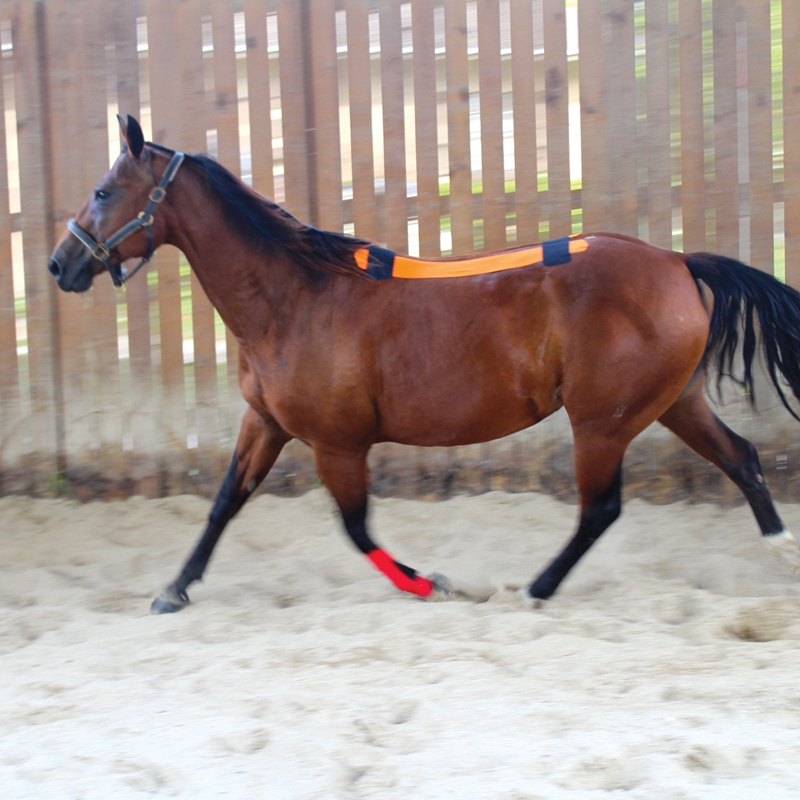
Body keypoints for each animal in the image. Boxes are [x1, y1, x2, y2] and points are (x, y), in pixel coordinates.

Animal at [48, 115, 800, 614]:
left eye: (105, 192)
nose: (60, 263)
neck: (294, 297)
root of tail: (677, 261)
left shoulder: (337, 443)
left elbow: (356, 528)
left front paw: (432, 582)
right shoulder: (266, 422)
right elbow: (225, 500)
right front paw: (173, 588)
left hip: (603, 420)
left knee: (601, 509)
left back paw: (535, 588)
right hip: (672, 402)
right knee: (740, 458)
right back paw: (779, 549)